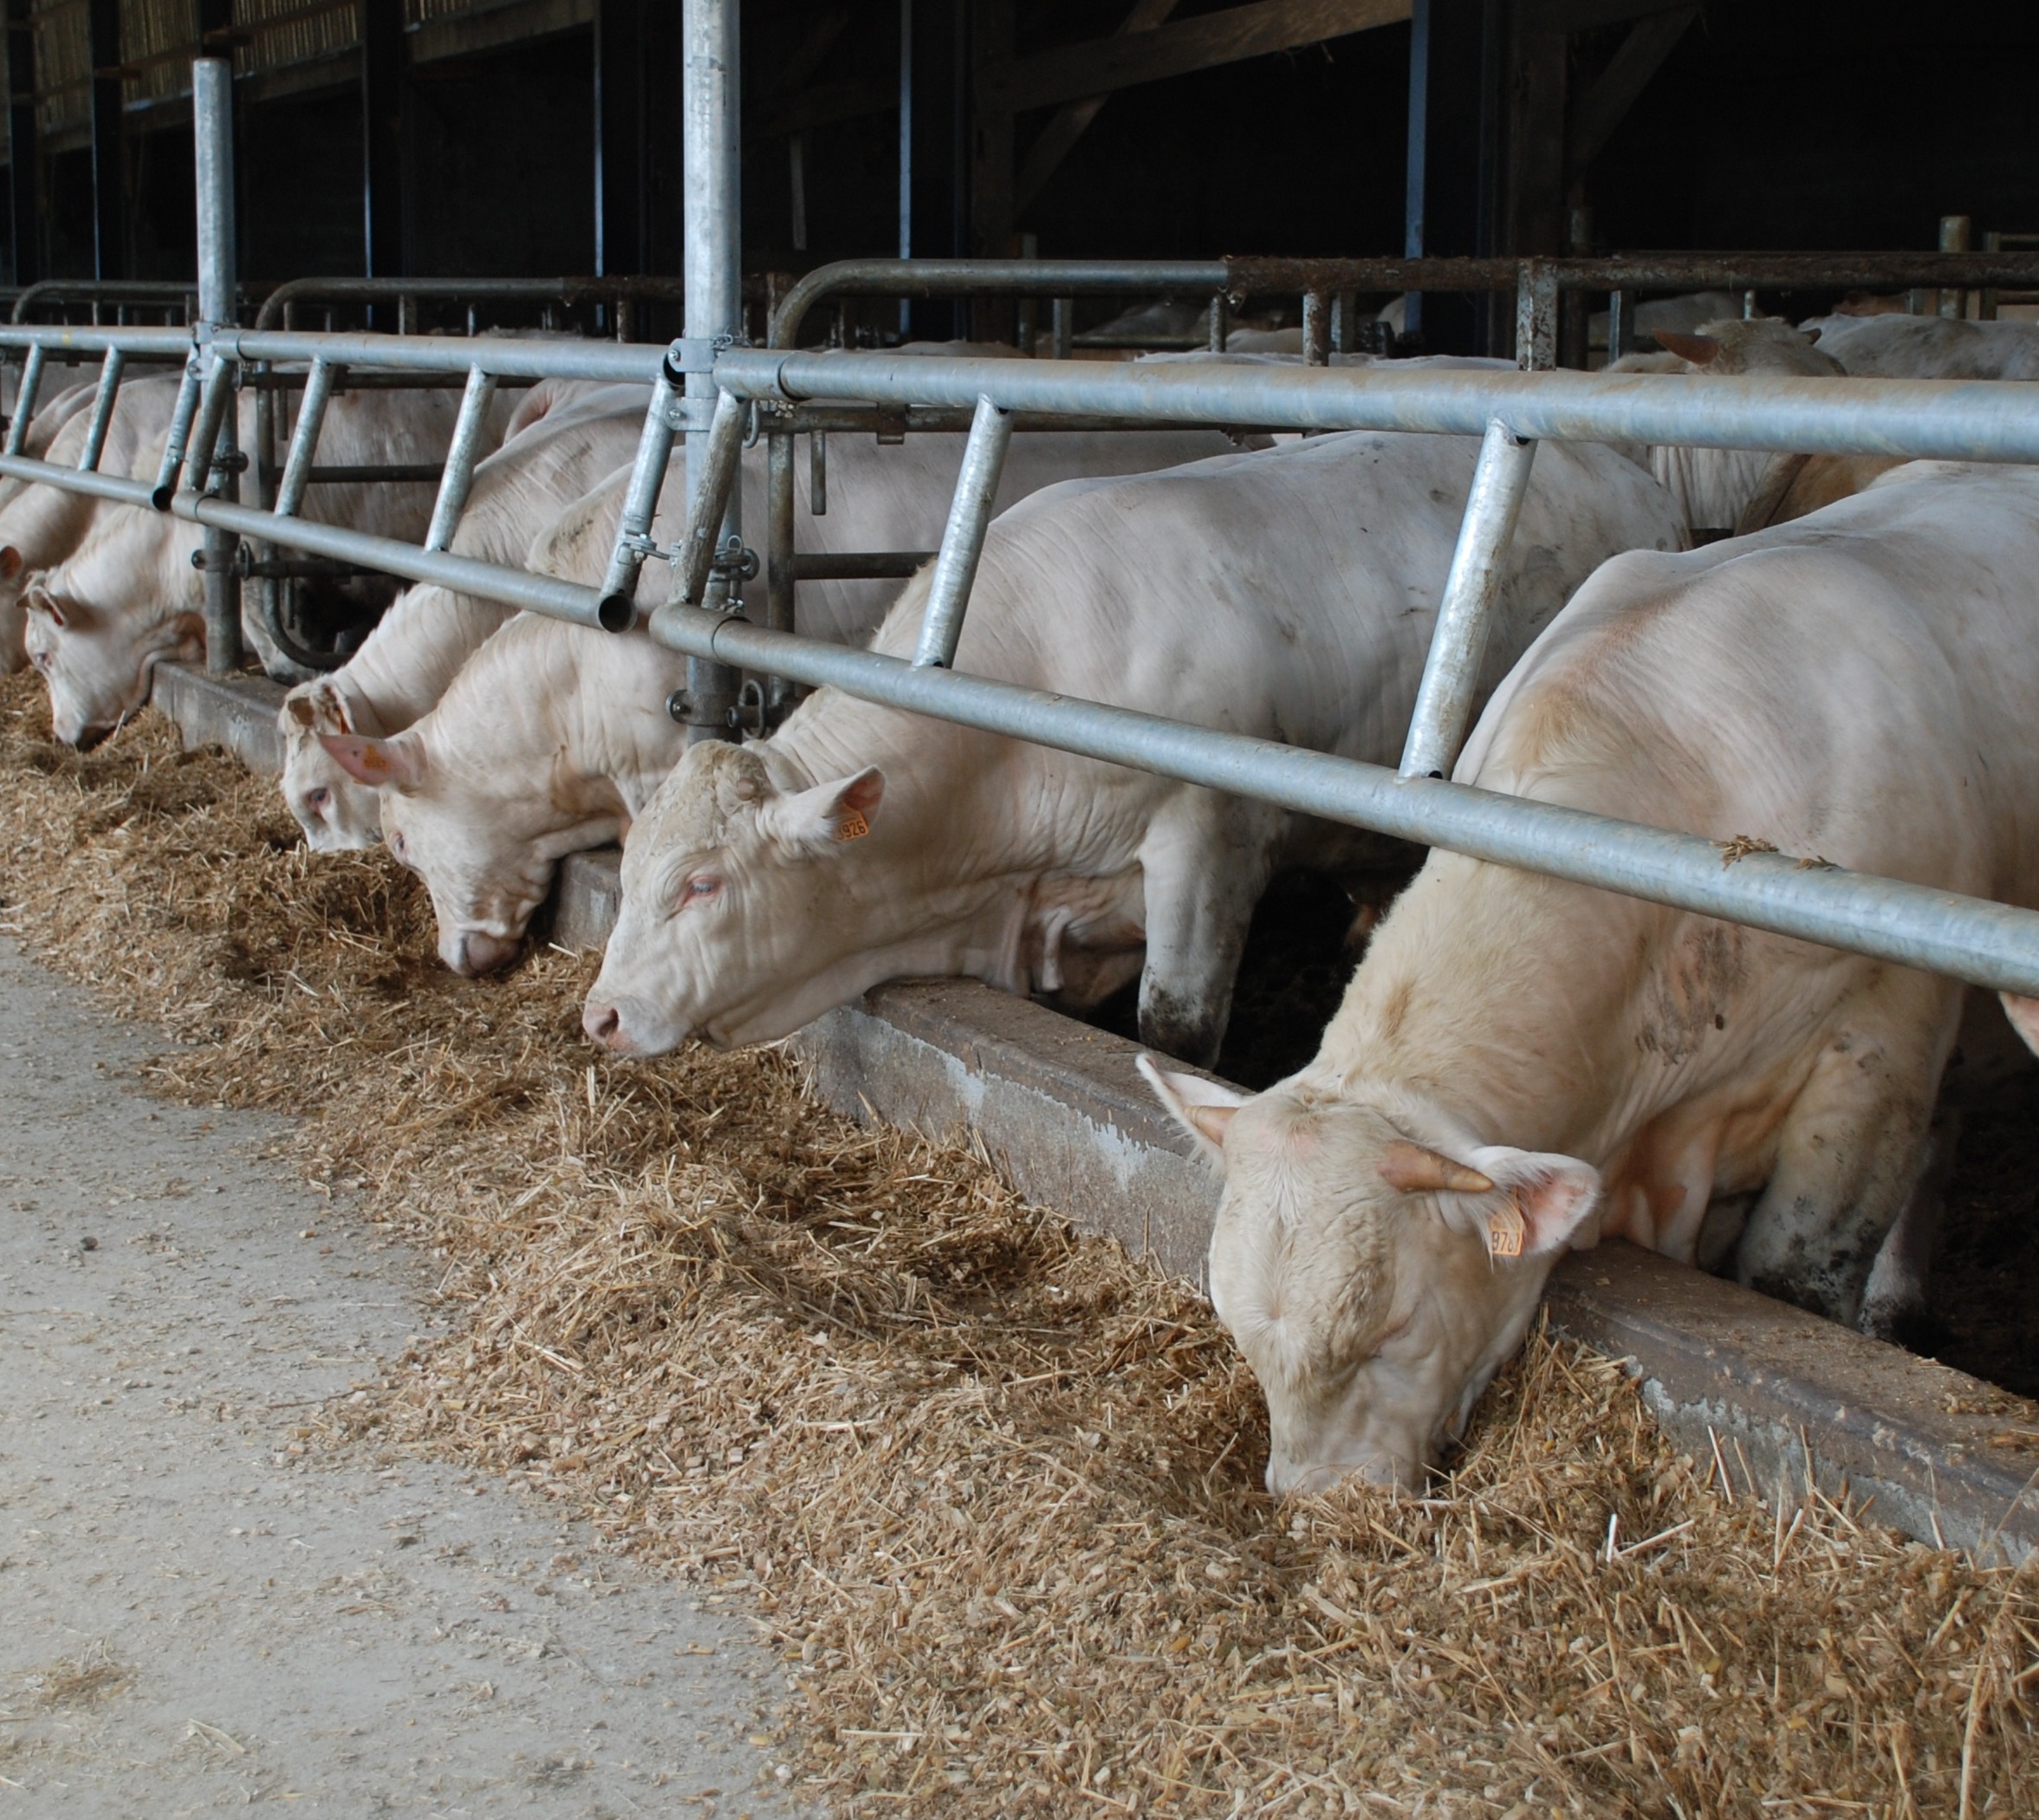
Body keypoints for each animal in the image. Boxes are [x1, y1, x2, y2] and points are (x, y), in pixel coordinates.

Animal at [579, 418, 1688, 1069]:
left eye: (701, 885)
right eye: (628, 871)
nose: (599, 1015)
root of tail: (1626, 472)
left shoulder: (1212, 840)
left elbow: (1177, 1030)